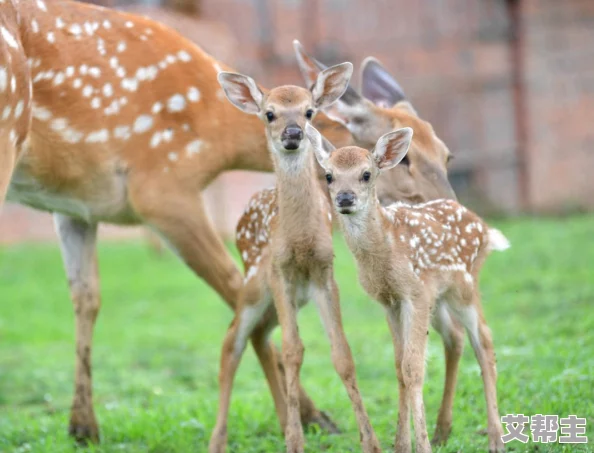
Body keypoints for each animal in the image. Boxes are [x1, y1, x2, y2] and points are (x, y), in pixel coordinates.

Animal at [308, 122, 506, 450]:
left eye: (366, 174)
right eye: (329, 176)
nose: (345, 198)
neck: (387, 249)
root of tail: (485, 229)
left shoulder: (416, 293)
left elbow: (414, 369)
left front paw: (421, 445)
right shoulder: (389, 302)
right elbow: (399, 367)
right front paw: (401, 444)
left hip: (464, 287)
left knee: (485, 342)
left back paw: (495, 440)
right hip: (443, 297)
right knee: (460, 338)